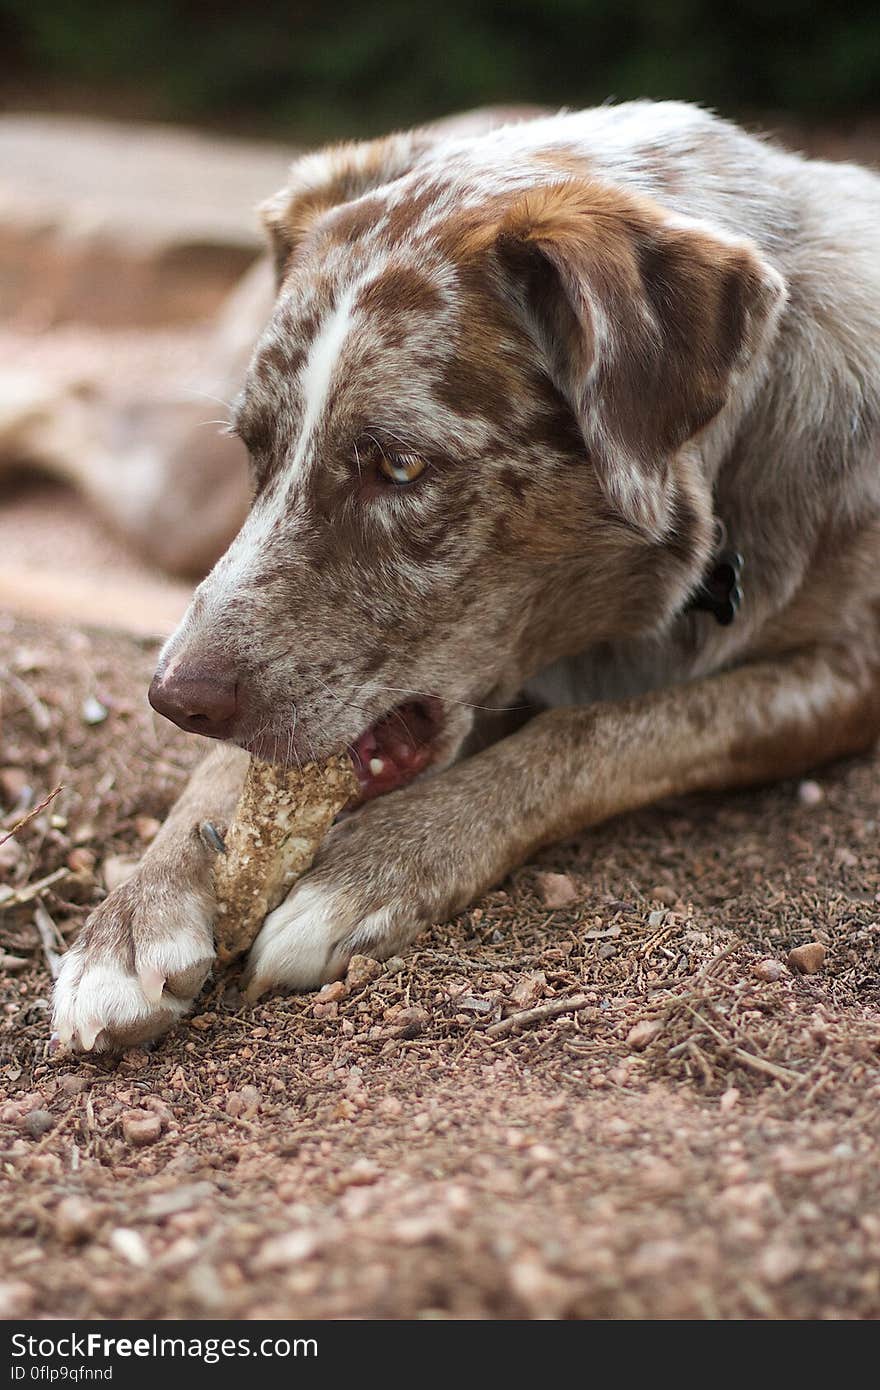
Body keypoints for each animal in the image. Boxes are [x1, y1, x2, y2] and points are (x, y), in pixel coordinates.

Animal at [49, 100, 878, 1050]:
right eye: (257, 447)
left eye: (400, 467)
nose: (172, 700)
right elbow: (222, 774)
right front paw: (132, 919)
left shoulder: (846, 676)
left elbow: (599, 730)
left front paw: (376, 870)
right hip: (187, 499)